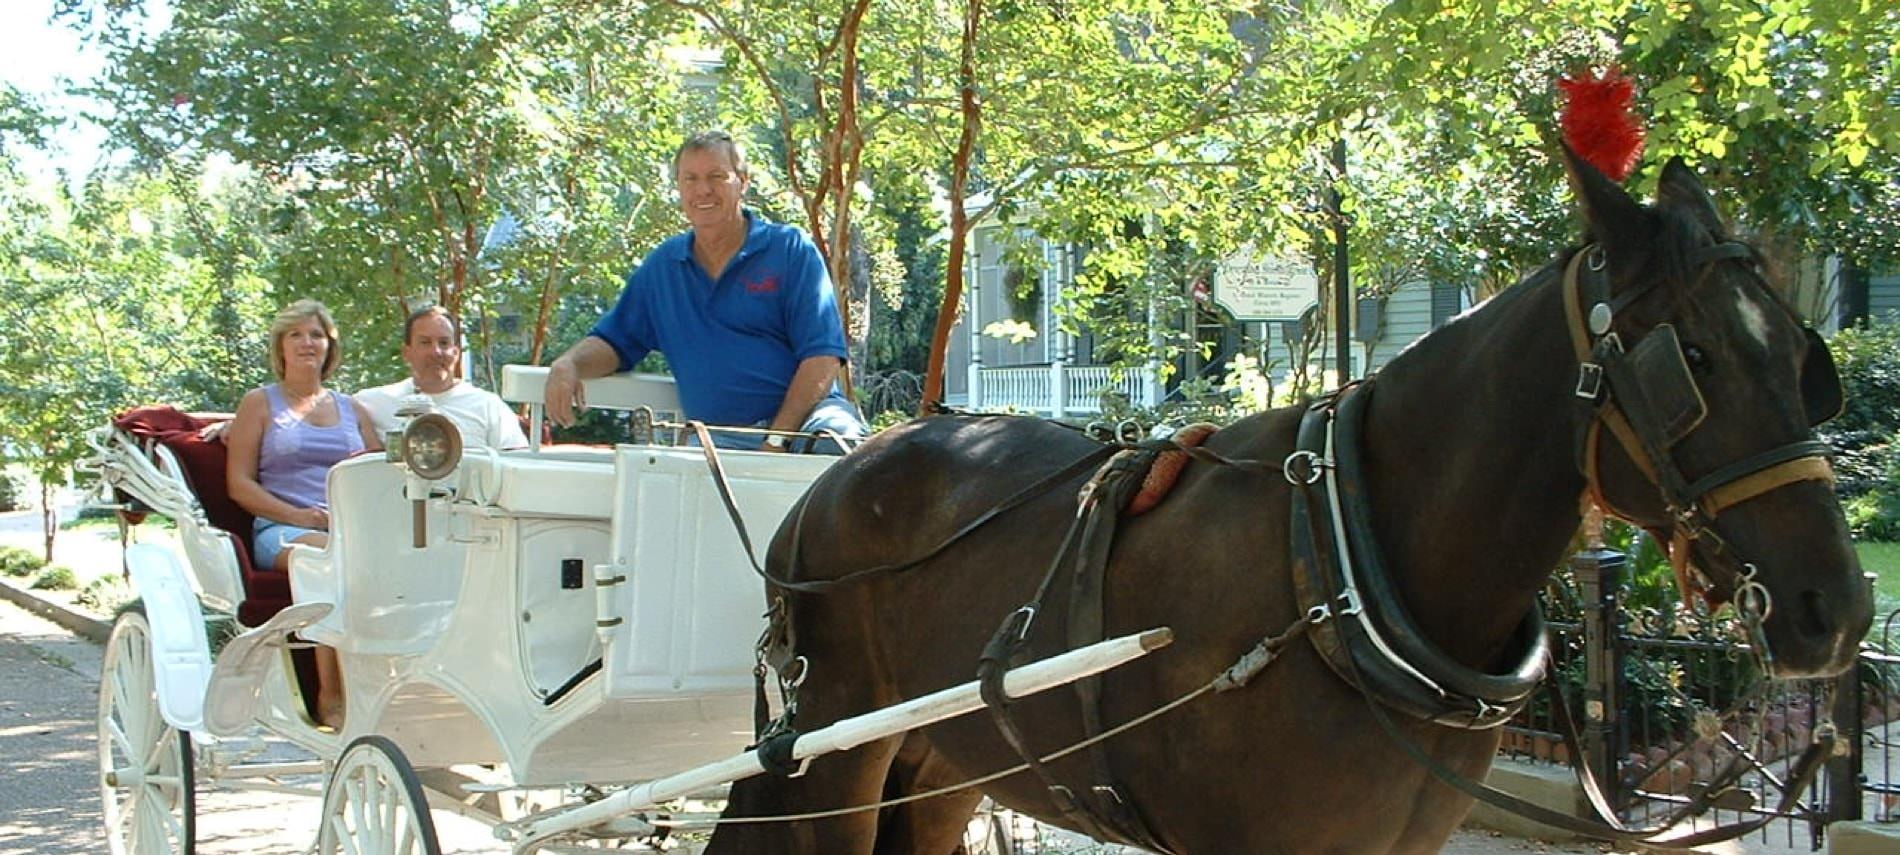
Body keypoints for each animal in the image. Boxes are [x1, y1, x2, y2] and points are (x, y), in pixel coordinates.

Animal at [706, 148, 1877, 855]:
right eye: (1692, 362)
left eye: (1805, 360)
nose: (1838, 609)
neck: (1343, 573)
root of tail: (830, 481)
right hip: (835, 757)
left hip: (944, 755)